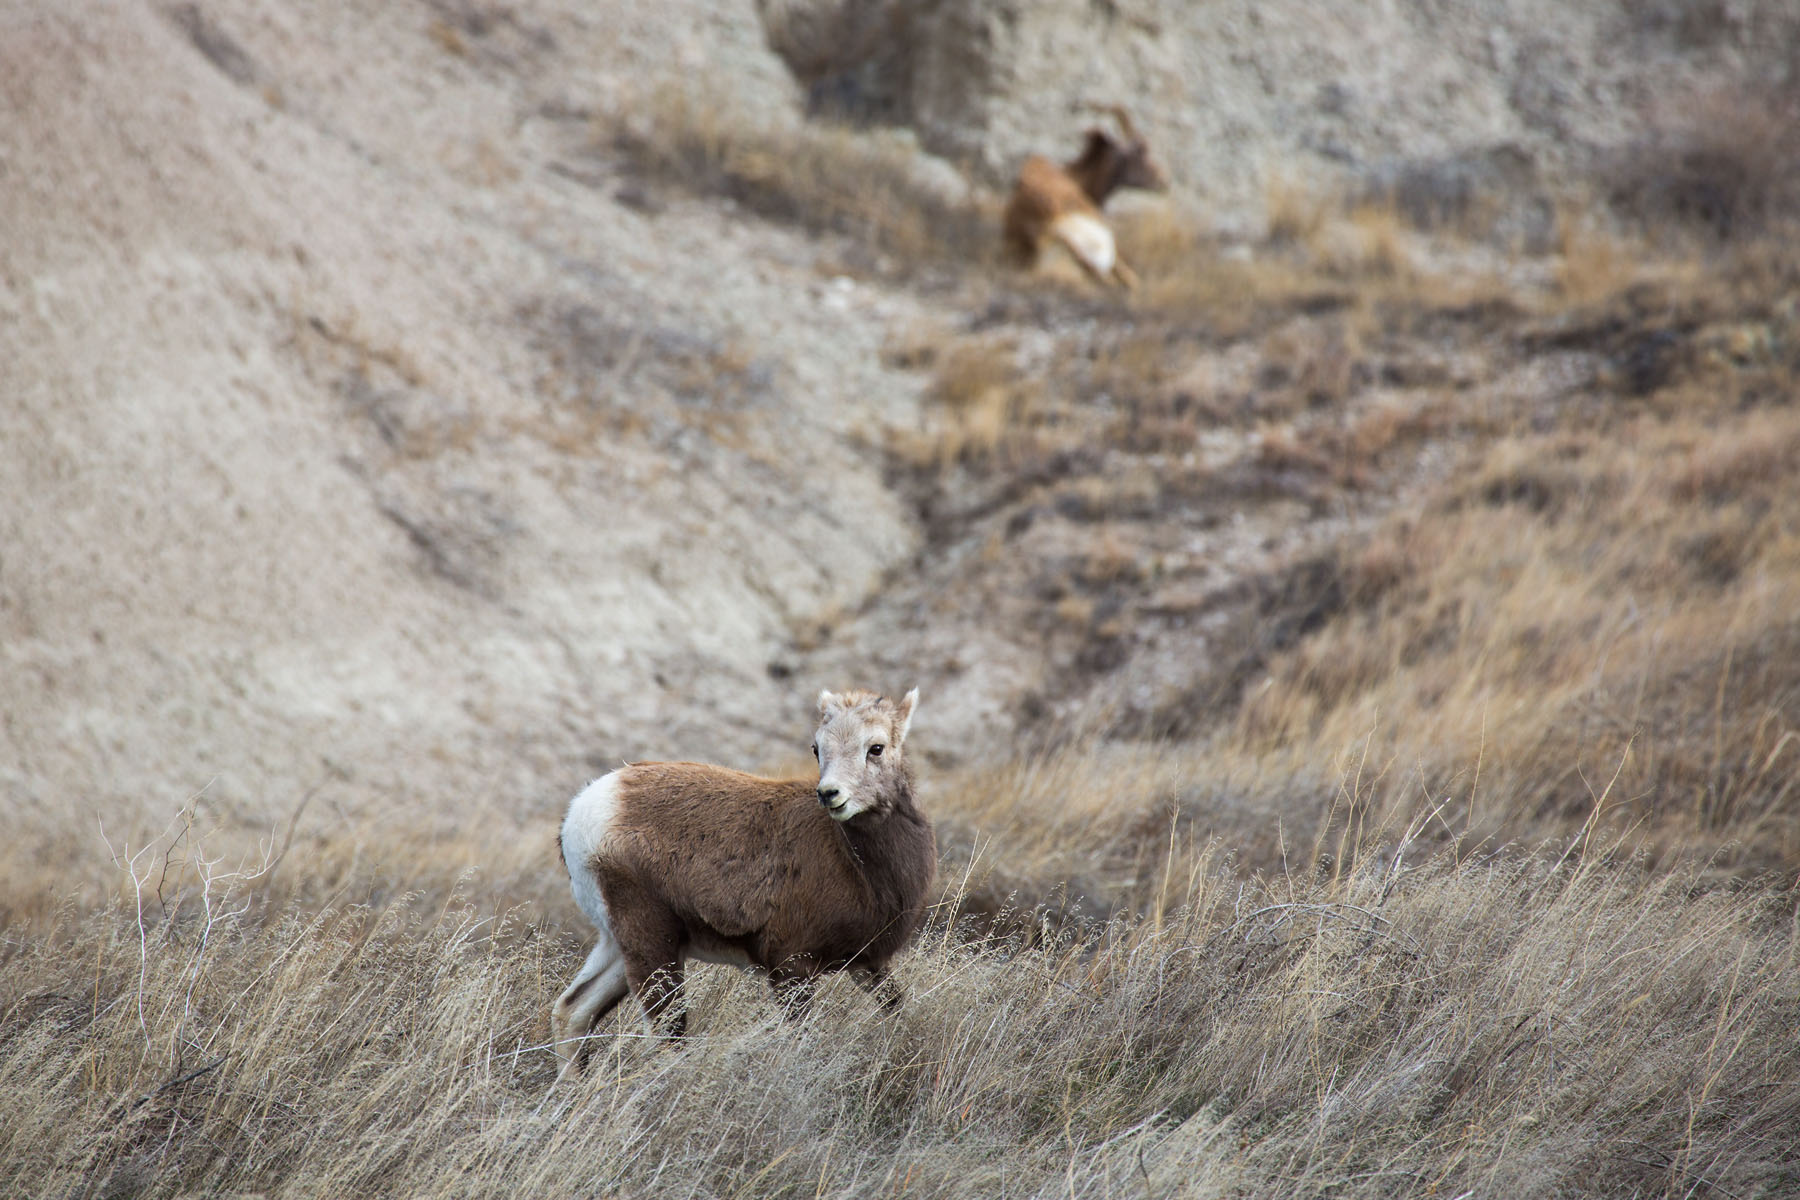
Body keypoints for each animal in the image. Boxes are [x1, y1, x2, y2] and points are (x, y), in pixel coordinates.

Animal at [551, 687, 934, 1077]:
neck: (855, 863)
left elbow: (896, 1009)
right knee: (667, 1037)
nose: (830, 794)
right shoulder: (791, 970)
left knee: (573, 1010)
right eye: (817, 748)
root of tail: (584, 809)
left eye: (876, 747)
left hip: (621, 945)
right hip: (653, 948)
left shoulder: (868, 965)